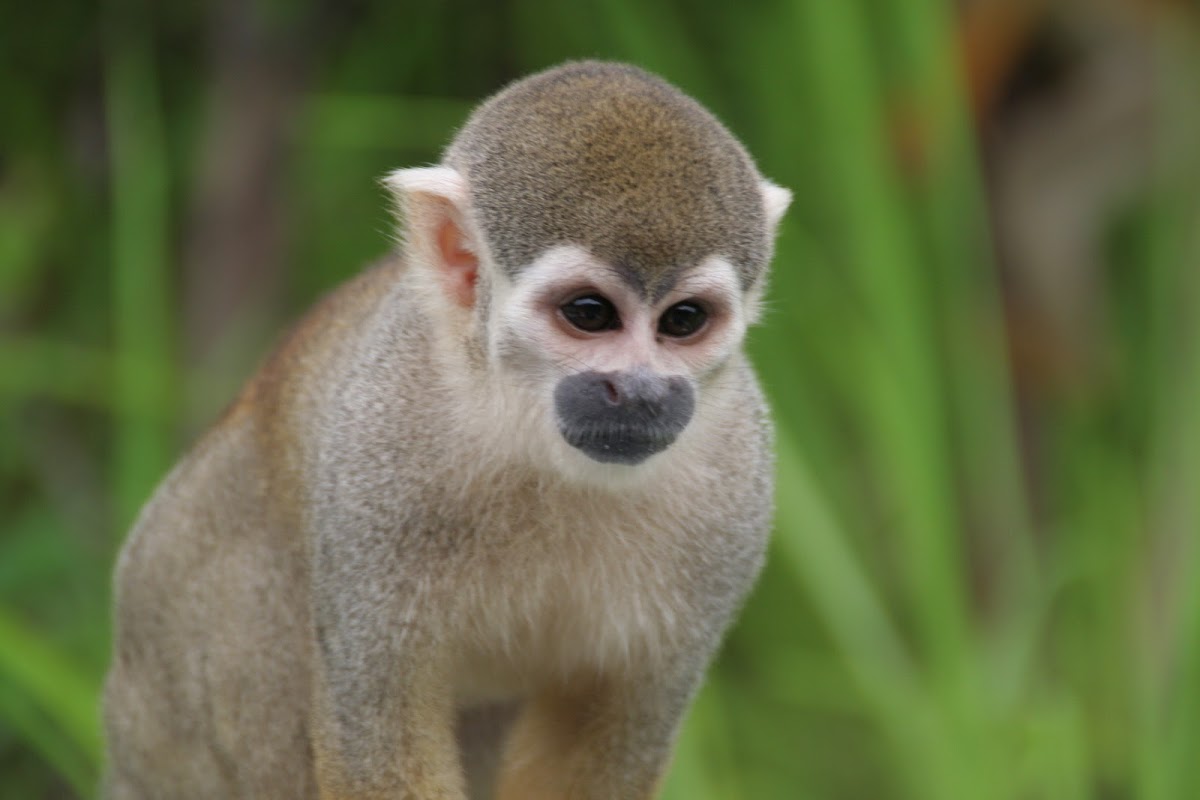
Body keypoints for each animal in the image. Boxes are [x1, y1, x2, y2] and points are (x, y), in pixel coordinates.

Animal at [102, 60, 791, 800]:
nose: (638, 390)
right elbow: (376, 741)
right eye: (589, 313)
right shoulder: (378, 454)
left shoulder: (736, 490)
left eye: (684, 320)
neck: (535, 442)